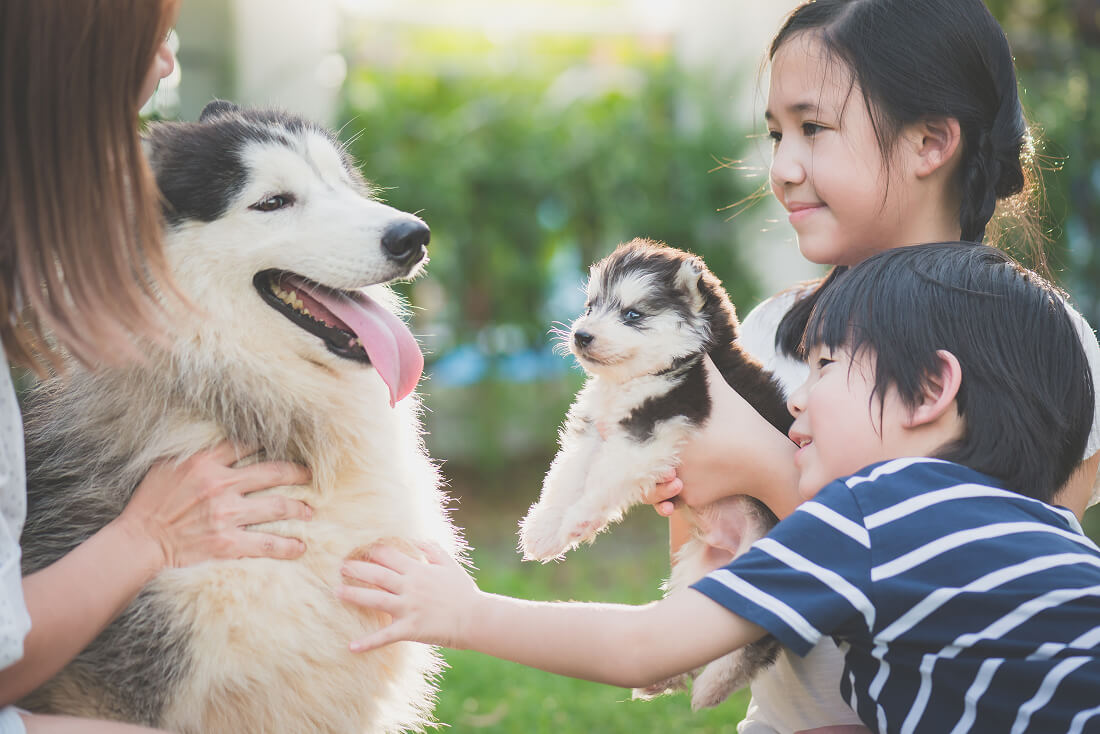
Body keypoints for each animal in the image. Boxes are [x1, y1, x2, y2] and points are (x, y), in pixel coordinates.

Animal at [521, 239, 792, 704]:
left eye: (633, 314)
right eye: (591, 306)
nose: (581, 335)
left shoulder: (653, 425)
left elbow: (601, 481)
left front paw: (578, 520)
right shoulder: (593, 431)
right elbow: (564, 478)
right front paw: (544, 531)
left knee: (759, 638)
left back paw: (712, 685)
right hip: (699, 579)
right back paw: (663, 678)